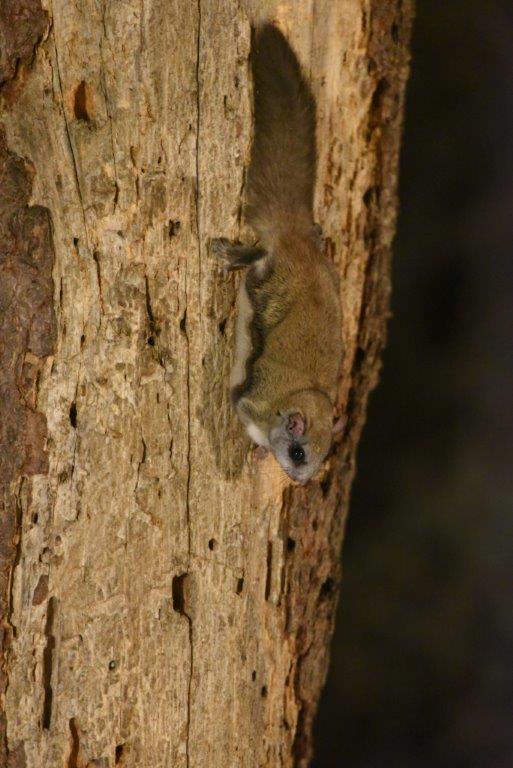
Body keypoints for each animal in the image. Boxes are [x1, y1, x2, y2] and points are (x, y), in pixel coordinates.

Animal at [211, 23, 343, 484]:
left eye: (323, 458)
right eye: (299, 452)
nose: (301, 481)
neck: (302, 392)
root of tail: (296, 239)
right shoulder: (256, 402)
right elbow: (244, 410)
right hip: (268, 278)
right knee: (257, 261)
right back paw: (231, 256)